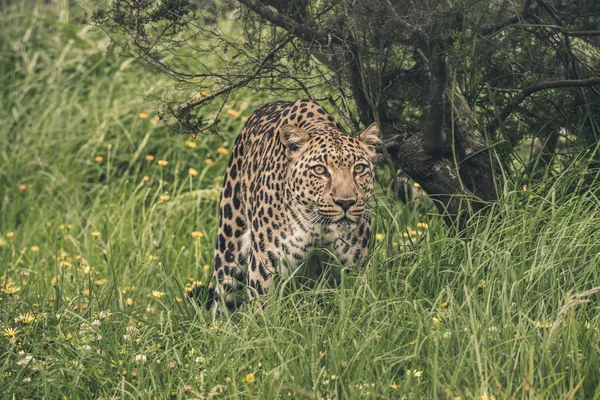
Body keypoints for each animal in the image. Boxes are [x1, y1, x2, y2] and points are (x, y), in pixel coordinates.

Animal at [206, 100, 380, 312]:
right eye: (320, 170)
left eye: (359, 168)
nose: (345, 202)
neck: (319, 228)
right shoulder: (265, 265)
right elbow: (264, 311)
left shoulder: (354, 264)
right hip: (229, 252)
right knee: (223, 302)